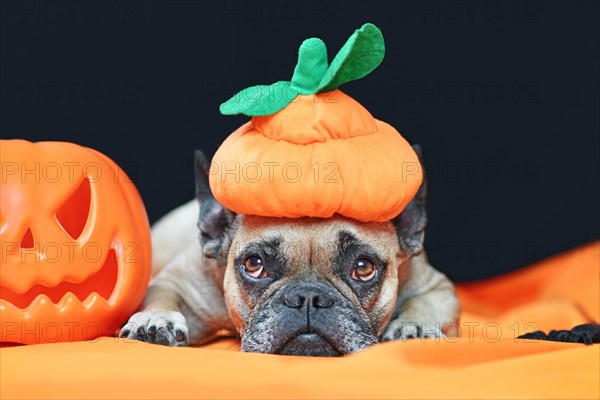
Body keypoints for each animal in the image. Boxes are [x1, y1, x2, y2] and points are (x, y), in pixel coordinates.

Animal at [120, 145, 460, 356]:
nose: (308, 298)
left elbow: (424, 304)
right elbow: (162, 295)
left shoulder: (436, 287)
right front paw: (156, 319)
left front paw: (412, 327)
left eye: (363, 268)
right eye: (254, 265)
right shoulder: (182, 283)